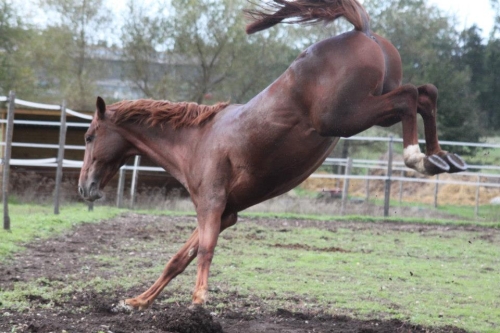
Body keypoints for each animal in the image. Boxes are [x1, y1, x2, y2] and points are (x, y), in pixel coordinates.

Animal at [77, 0, 464, 308]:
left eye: (89, 136)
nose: (84, 187)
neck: (197, 141)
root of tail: (362, 31)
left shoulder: (211, 205)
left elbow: (204, 250)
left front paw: (199, 300)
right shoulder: (226, 212)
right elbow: (179, 258)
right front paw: (137, 302)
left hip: (347, 116)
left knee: (410, 96)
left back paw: (420, 158)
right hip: (372, 110)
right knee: (425, 94)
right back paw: (442, 157)